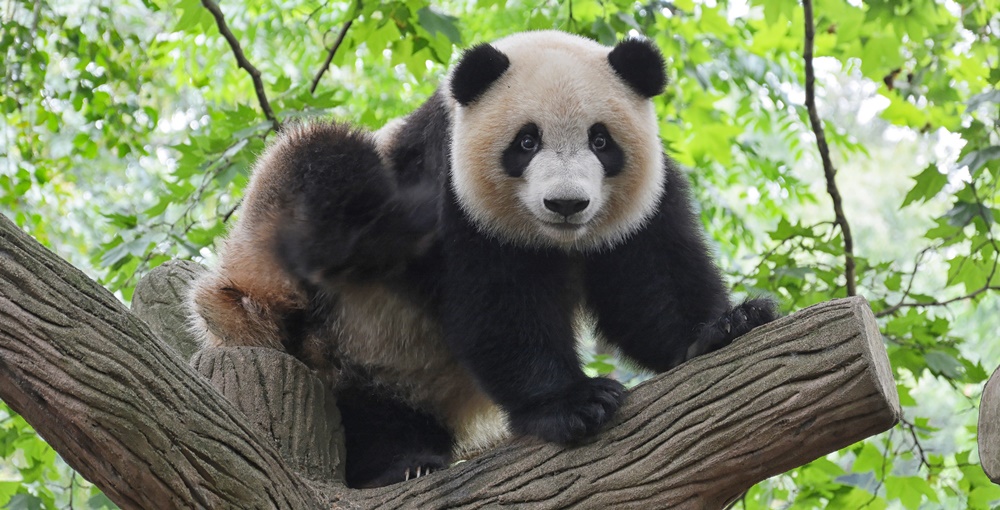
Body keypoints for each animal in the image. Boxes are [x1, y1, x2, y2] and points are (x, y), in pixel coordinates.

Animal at [188, 30, 777, 489]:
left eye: (601, 140)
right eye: (526, 142)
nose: (566, 204)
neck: (554, 241)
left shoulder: (642, 205)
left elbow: (650, 286)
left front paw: (726, 325)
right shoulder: (454, 196)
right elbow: (499, 306)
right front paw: (575, 403)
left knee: (378, 411)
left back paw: (406, 457)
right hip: (291, 285)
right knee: (320, 159)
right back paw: (399, 466)